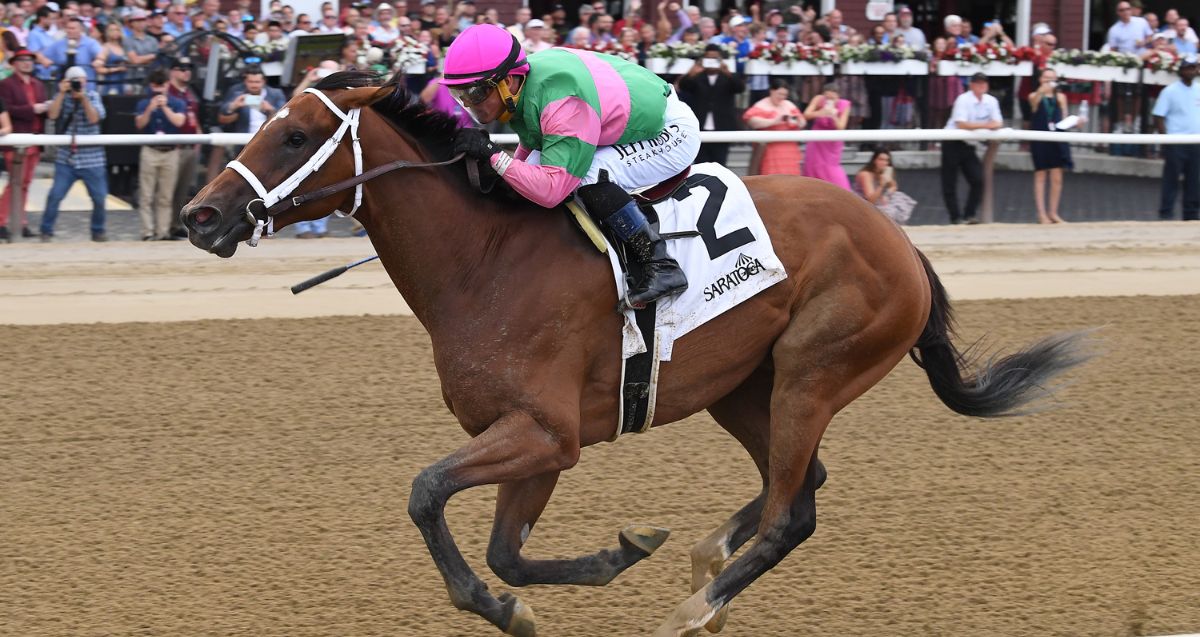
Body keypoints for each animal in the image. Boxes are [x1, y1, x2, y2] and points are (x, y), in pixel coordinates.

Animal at [181, 73, 1090, 637]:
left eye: (296, 135)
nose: (199, 215)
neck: (484, 260)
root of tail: (898, 238)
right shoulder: (533, 441)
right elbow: (506, 549)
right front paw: (615, 553)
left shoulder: (546, 432)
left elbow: (427, 492)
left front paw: (505, 602)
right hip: (743, 386)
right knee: (799, 486)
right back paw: (703, 562)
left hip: (813, 371)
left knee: (790, 512)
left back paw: (691, 611)